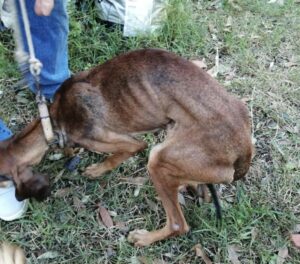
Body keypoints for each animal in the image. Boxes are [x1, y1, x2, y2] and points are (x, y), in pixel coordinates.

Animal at [0, 49, 253, 248]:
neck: (50, 120)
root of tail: (245, 149)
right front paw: (69, 153)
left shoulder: (128, 143)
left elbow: (117, 156)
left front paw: (97, 169)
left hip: (158, 158)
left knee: (178, 224)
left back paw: (145, 238)